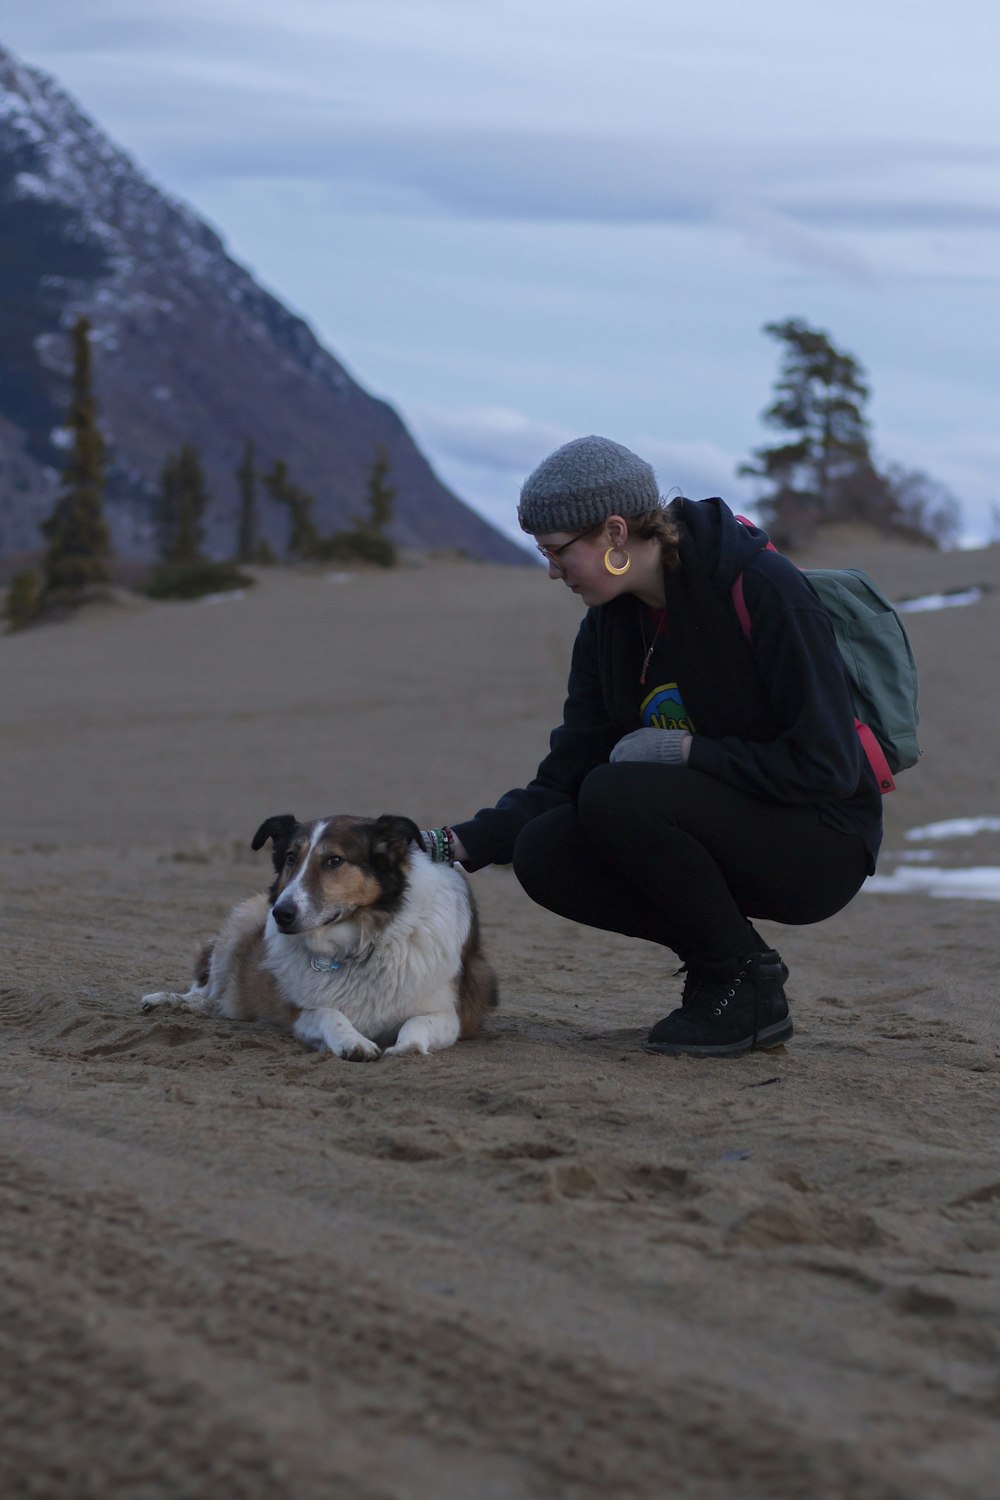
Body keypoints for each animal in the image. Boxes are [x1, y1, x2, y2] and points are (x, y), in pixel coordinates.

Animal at [140, 816, 500, 1062]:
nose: (281, 913)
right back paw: (165, 1001)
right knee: (207, 994)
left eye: (334, 860)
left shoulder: (449, 1015)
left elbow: (417, 1024)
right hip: (240, 924)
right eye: (290, 858)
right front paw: (354, 1042)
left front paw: (403, 1047)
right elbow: (331, 1014)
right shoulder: (300, 1012)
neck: (359, 943)